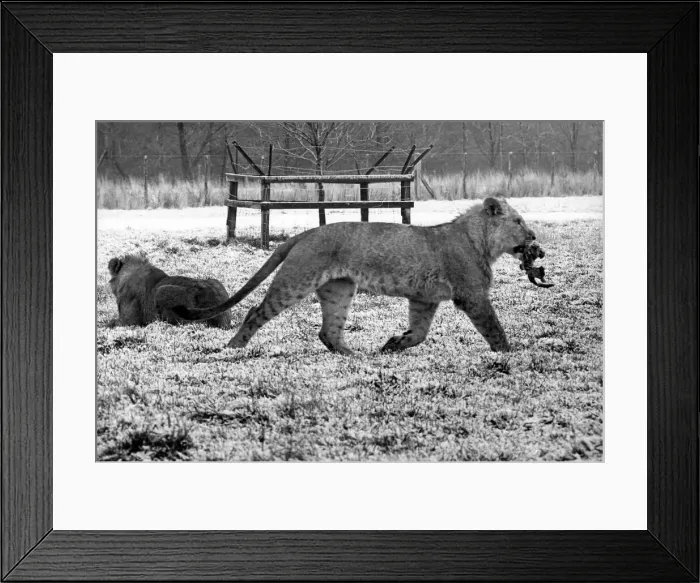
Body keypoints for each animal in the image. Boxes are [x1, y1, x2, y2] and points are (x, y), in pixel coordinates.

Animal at [173, 196, 538, 354]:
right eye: (518, 221)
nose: (535, 238)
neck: (482, 242)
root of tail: (306, 233)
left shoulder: (424, 298)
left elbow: (419, 333)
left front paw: (392, 345)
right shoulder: (472, 295)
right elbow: (494, 328)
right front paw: (511, 353)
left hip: (339, 290)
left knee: (328, 332)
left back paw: (356, 356)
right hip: (297, 281)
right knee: (255, 311)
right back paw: (233, 347)